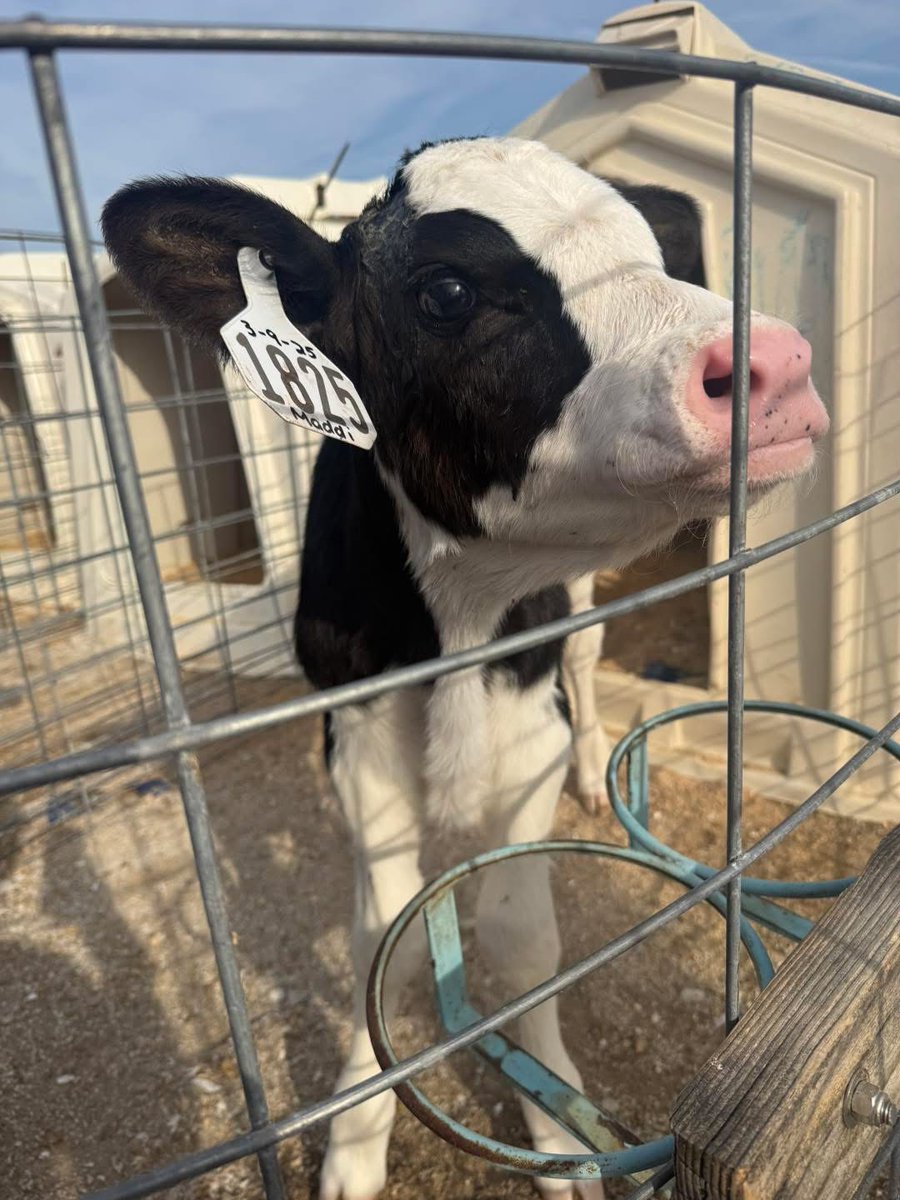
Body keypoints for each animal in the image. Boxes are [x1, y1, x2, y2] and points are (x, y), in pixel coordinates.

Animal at [102, 136, 828, 1200]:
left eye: (656, 255)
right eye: (445, 290)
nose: (776, 361)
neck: (458, 625)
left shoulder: (528, 725)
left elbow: (521, 936)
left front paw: (556, 1128)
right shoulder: (354, 736)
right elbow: (381, 945)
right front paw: (355, 1138)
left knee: (588, 672)